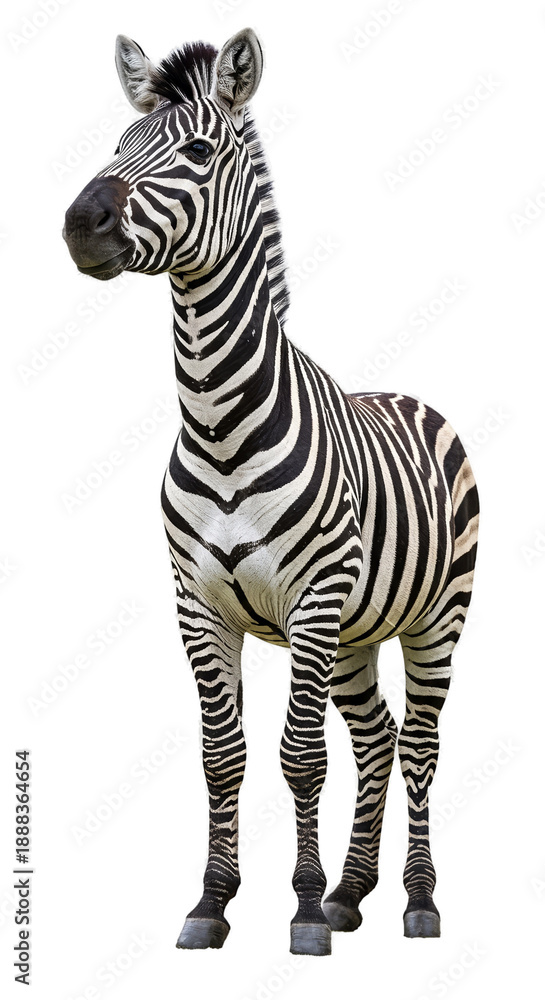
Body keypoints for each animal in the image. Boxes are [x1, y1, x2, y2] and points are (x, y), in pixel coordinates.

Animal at [63, 28, 479, 957]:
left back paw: (417, 901)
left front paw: (301, 908)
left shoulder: (312, 602)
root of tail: (406, 395)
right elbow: (224, 754)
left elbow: (299, 756)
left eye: (197, 152)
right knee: (377, 739)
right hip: (360, 632)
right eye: (118, 144)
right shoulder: (199, 604)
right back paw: (355, 893)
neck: (219, 420)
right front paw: (214, 902)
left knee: (418, 744)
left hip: (433, 620)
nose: (79, 223)